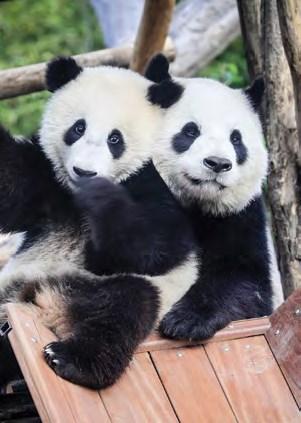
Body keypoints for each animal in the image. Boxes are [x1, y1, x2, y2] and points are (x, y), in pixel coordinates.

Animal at [0, 57, 199, 390]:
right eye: (78, 128)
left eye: (115, 139)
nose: (84, 171)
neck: (73, 196)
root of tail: (46, 301)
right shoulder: (46, 177)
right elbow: (10, 181)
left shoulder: (152, 188)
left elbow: (156, 248)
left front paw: (101, 195)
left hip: (136, 291)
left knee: (124, 308)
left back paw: (69, 360)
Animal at [144, 54, 282, 342]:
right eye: (190, 131)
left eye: (236, 139)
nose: (218, 163)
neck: (196, 203)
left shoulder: (241, 216)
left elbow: (246, 282)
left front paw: (186, 321)